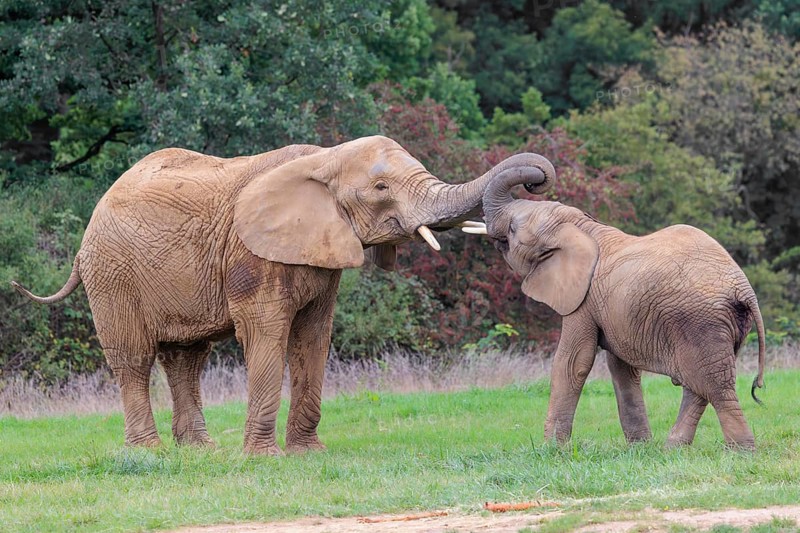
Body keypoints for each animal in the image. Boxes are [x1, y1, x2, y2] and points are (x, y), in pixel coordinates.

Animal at [12, 135, 554, 455]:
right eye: (381, 188)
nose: (537, 179)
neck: (325, 158)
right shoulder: (254, 255)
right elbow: (267, 336)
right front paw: (262, 458)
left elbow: (314, 337)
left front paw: (307, 454)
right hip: (112, 275)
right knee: (133, 358)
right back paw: (150, 452)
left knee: (187, 359)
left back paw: (199, 451)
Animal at [468, 155, 766, 450]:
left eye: (513, 229)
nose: (534, 182)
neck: (582, 226)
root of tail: (745, 290)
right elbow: (621, 368)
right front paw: (640, 447)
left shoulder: (583, 300)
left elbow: (572, 362)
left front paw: (553, 449)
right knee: (699, 386)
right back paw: (674, 448)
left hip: (700, 321)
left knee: (715, 386)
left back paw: (740, 451)